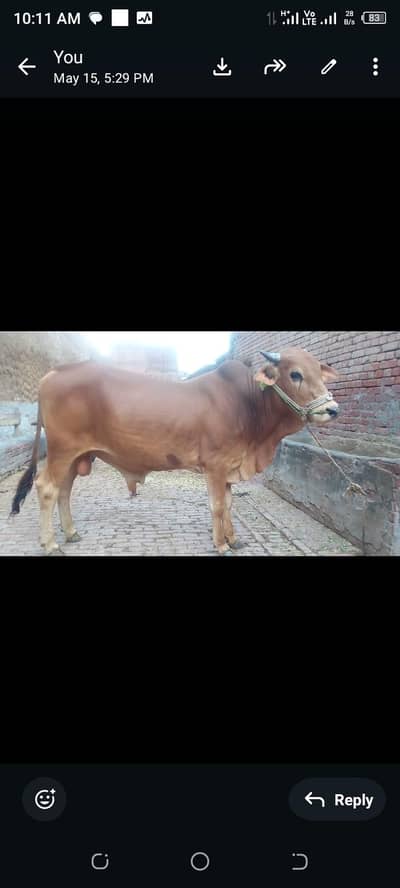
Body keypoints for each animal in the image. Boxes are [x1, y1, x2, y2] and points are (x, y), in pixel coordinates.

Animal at [10, 348, 339, 556]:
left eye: (319, 372)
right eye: (295, 374)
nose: (332, 409)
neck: (248, 404)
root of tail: (53, 373)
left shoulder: (230, 467)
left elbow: (230, 505)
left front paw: (234, 540)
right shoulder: (215, 466)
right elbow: (217, 506)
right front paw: (220, 544)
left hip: (76, 456)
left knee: (64, 491)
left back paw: (71, 533)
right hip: (62, 451)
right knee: (46, 488)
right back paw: (51, 544)